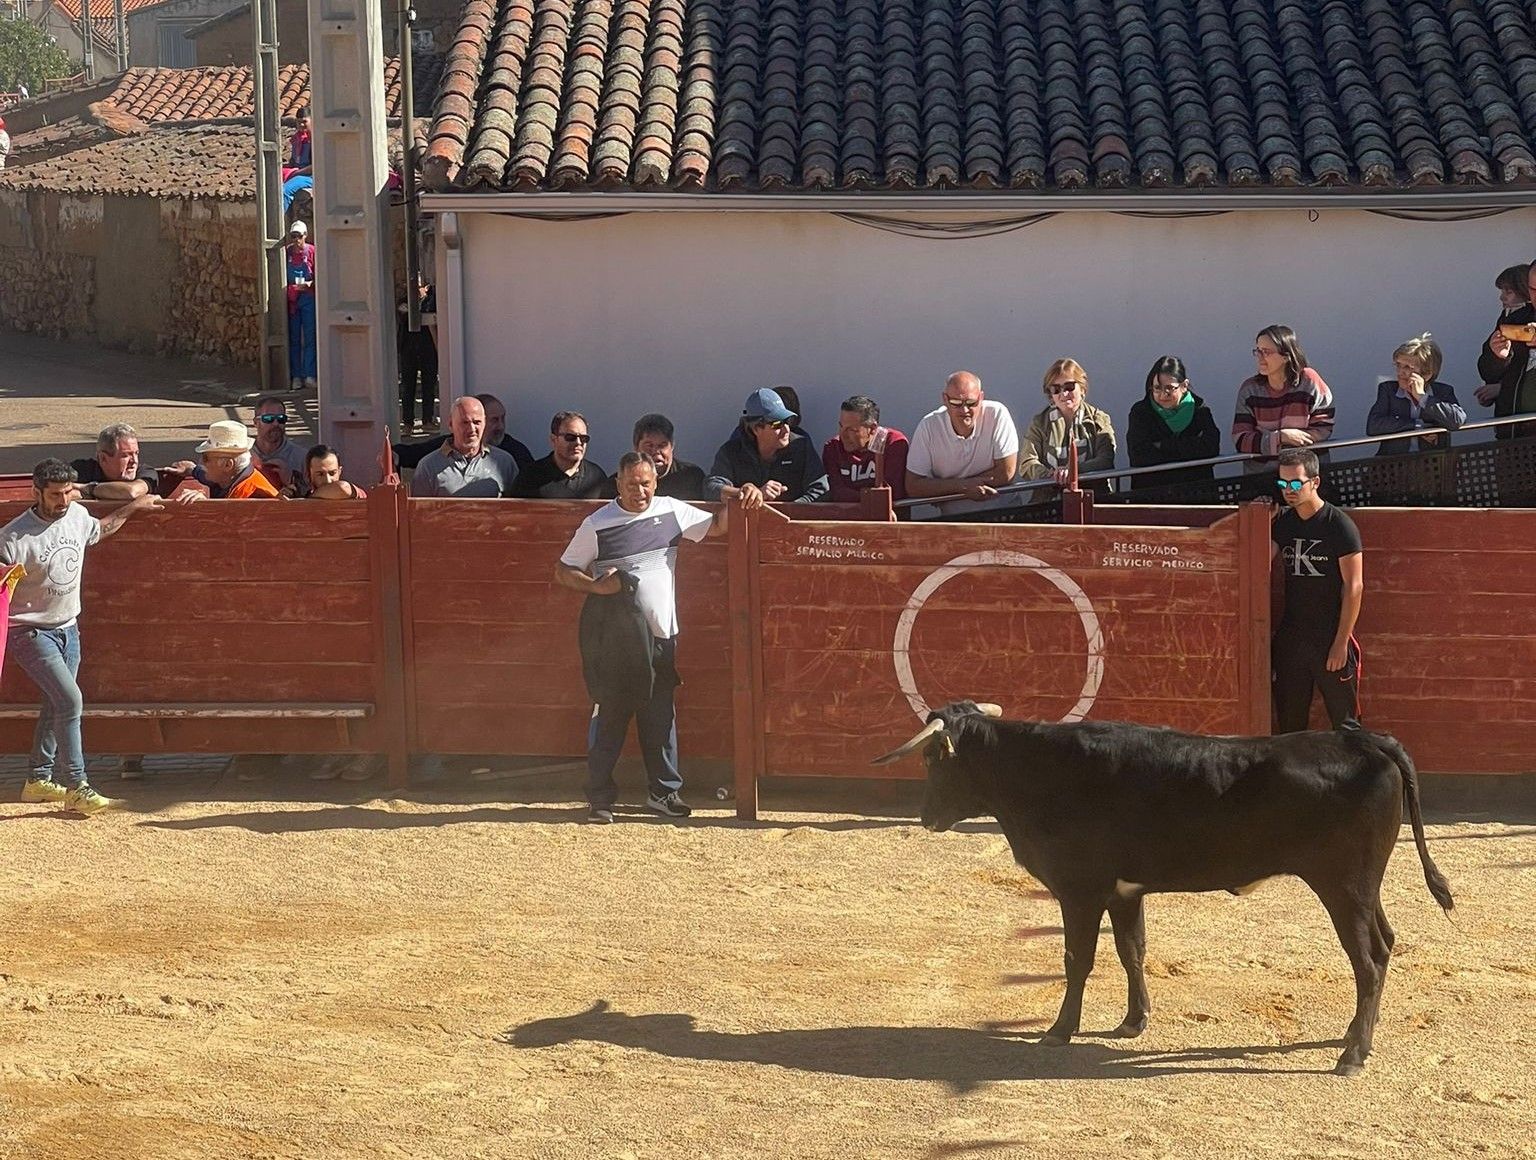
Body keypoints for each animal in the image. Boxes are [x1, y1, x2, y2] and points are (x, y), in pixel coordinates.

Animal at [878, 703, 1449, 1075]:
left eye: (932, 759)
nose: (926, 818)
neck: (1044, 772)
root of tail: (1364, 739)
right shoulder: (1124, 893)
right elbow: (1132, 950)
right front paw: (1134, 1021)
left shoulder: (1079, 891)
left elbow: (1077, 960)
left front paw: (1059, 1030)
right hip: (1364, 889)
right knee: (1385, 945)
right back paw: (1357, 1036)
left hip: (1343, 888)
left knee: (1368, 960)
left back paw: (1351, 1056)